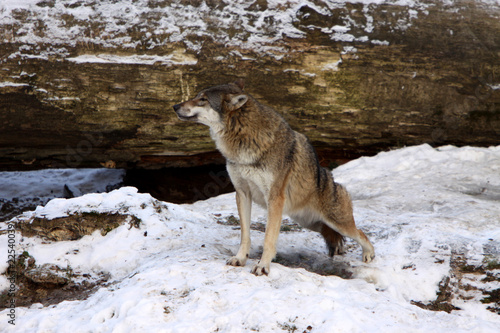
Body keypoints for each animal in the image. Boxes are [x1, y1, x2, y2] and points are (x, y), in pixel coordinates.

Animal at [174, 80, 374, 274]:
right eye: (197, 96)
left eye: (203, 99)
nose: (175, 106)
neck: (244, 140)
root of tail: (330, 179)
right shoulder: (242, 194)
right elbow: (245, 235)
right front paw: (240, 258)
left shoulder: (274, 199)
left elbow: (268, 239)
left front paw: (263, 266)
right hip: (310, 223)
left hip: (337, 223)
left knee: (361, 233)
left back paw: (369, 255)